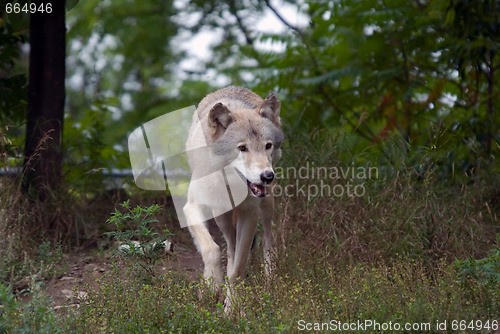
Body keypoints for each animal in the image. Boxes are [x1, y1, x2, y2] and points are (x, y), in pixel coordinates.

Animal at [183, 85, 286, 310]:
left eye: (268, 146)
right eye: (242, 148)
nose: (267, 176)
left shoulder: (250, 214)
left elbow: (238, 270)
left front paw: (232, 309)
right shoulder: (191, 207)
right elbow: (212, 249)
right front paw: (212, 286)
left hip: (267, 205)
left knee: (268, 240)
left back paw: (270, 284)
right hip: (221, 215)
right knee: (229, 246)